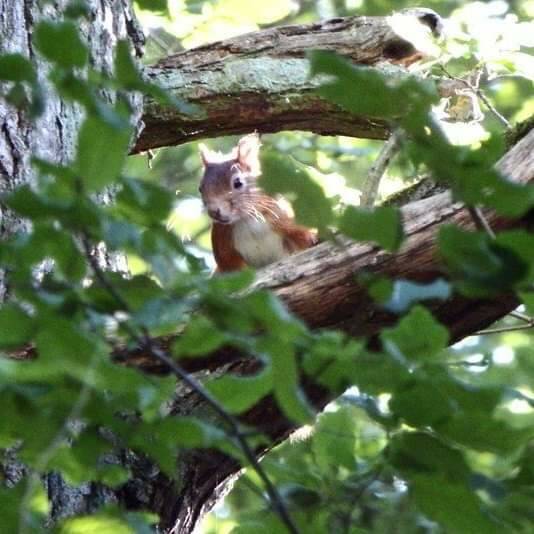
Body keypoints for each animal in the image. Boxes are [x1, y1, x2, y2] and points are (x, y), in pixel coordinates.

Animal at [199, 134, 317, 272]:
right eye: (200, 188)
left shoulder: (283, 217)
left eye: (238, 183)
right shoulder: (223, 243)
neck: (247, 219)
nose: (214, 212)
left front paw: (313, 238)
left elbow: (302, 237)